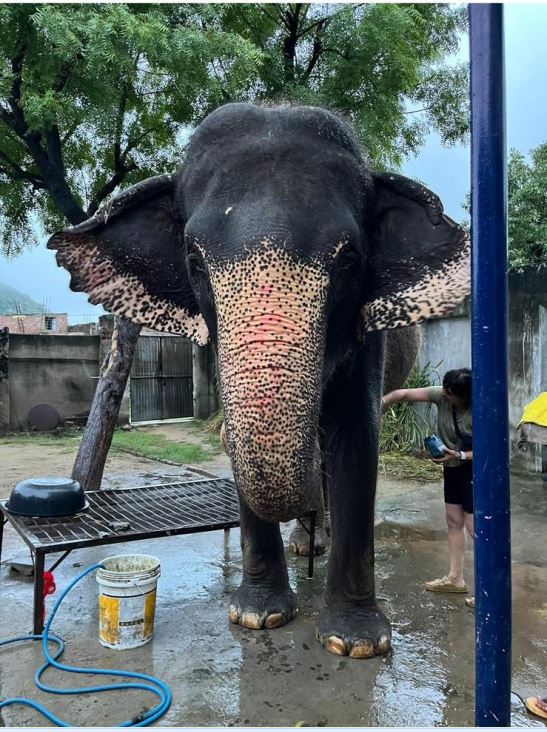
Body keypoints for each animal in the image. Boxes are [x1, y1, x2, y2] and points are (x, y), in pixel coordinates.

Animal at [48, 102, 470, 658]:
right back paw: (307, 544)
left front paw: (356, 643)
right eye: (193, 261)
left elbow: (355, 438)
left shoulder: (366, 337)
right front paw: (257, 616)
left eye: (350, 261)